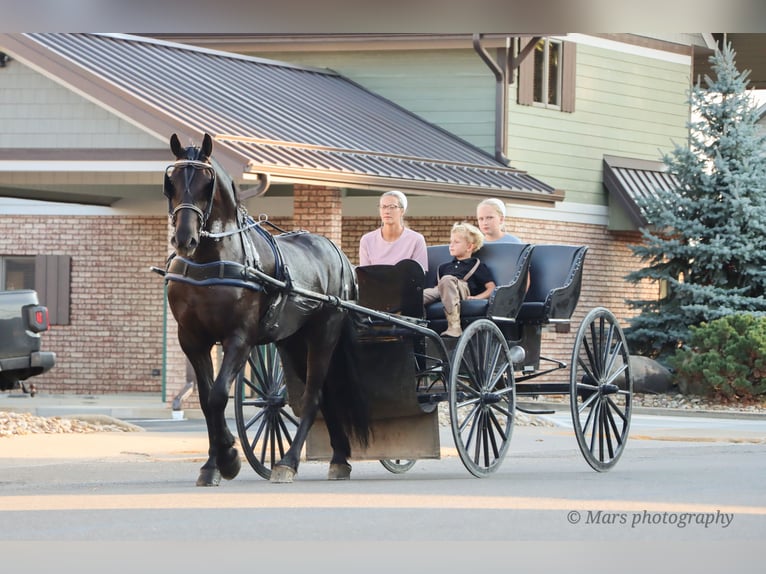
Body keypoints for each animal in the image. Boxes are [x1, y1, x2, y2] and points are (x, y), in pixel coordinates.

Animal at [162, 132, 370, 485]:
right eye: (171, 181)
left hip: (324, 333)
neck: (210, 260)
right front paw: (213, 464)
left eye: (207, 183)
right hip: (294, 340)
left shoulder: (240, 338)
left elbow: (219, 395)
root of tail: (338, 254)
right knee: (324, 395)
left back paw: (288, 462)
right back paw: (339, 457)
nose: (184, 238)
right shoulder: (191, 339)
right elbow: (206, 400)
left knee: (313, 397)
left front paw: (229, 457)